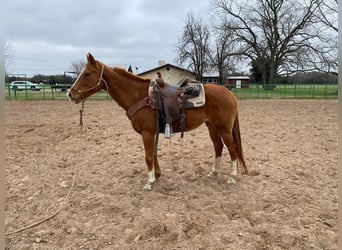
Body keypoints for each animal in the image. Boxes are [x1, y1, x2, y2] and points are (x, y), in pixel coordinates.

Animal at [67, 51, 248, 190]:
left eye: (87, 74)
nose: (71, 94)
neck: (140, 96)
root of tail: (230, 94)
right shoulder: (152, 132)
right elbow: (153, 153)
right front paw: (157, 175)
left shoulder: (147, 133)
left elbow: (148, 156)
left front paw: (149, 182)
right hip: (212, 126)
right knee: (218, 147)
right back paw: (214, 172)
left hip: (224, 128)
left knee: (232, 149)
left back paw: (231, 177)